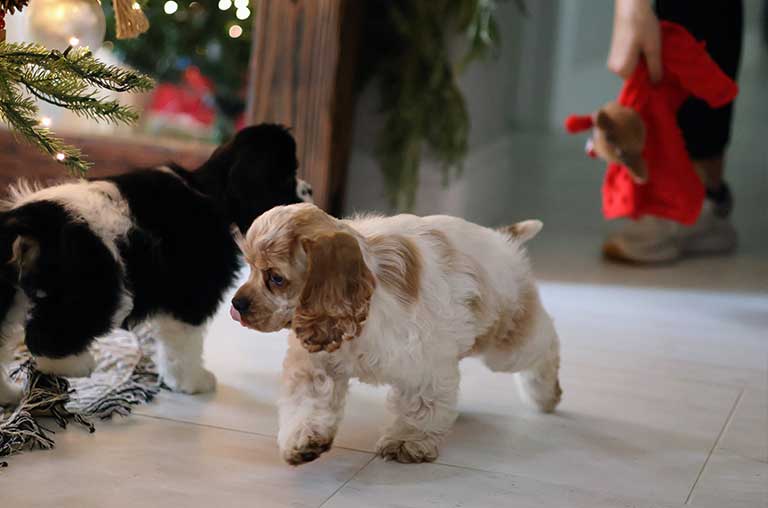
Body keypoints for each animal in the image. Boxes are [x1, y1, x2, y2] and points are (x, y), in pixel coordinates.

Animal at [0, 122, 312, 400]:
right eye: (288, 176)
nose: (309, 190)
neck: (211, 190)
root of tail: (29, 221)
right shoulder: (192, 295)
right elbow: (185, 344)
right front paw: (193, 382)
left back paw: (9, 395)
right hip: (96, 291)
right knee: (47, 336)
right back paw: (78, 365)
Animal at [231, 202, 560, 464]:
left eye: (276, 278)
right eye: (249, 268)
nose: (236, 304)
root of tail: (503, 238)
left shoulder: (425, 363)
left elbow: (422, 405)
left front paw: (408, 442)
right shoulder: (316, 362)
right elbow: (307, 400)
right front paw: (303, 439)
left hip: (508, 341)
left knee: (546, 343)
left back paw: (546, 395)